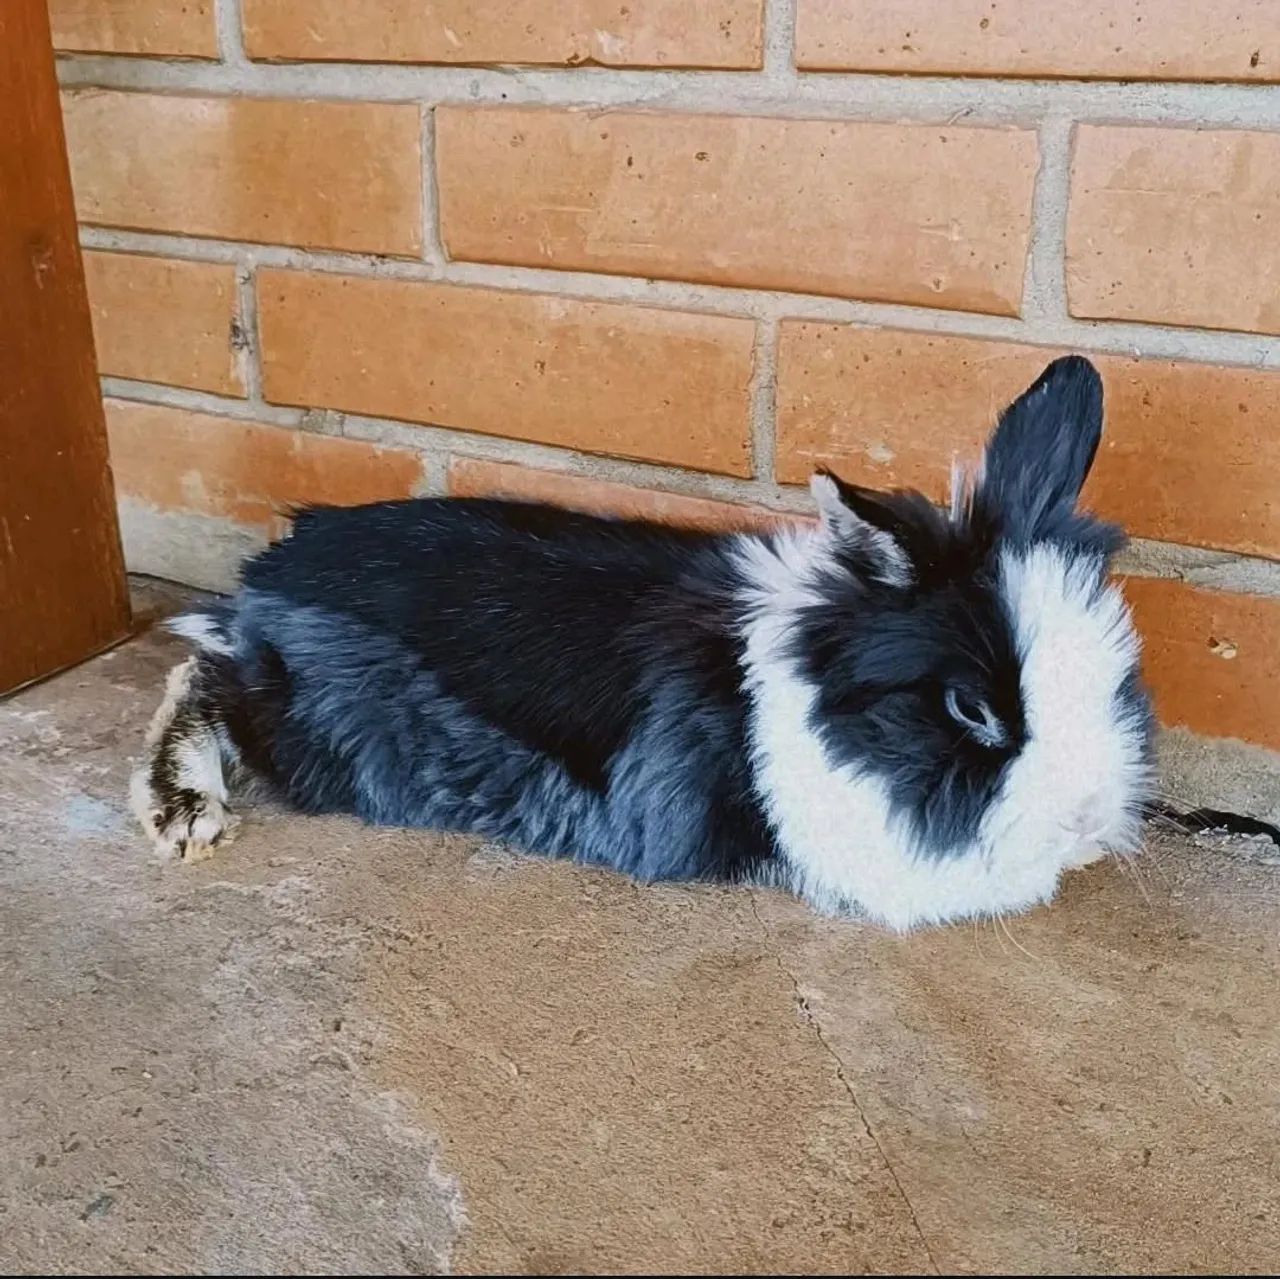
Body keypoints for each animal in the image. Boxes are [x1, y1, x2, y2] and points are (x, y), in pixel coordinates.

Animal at [130, 354, 1155, 930]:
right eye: (968, 706)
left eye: (1119, 680)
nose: (1086, 817)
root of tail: (274, 568)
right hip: (314, 725)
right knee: (202, 676)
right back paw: (185, 812)